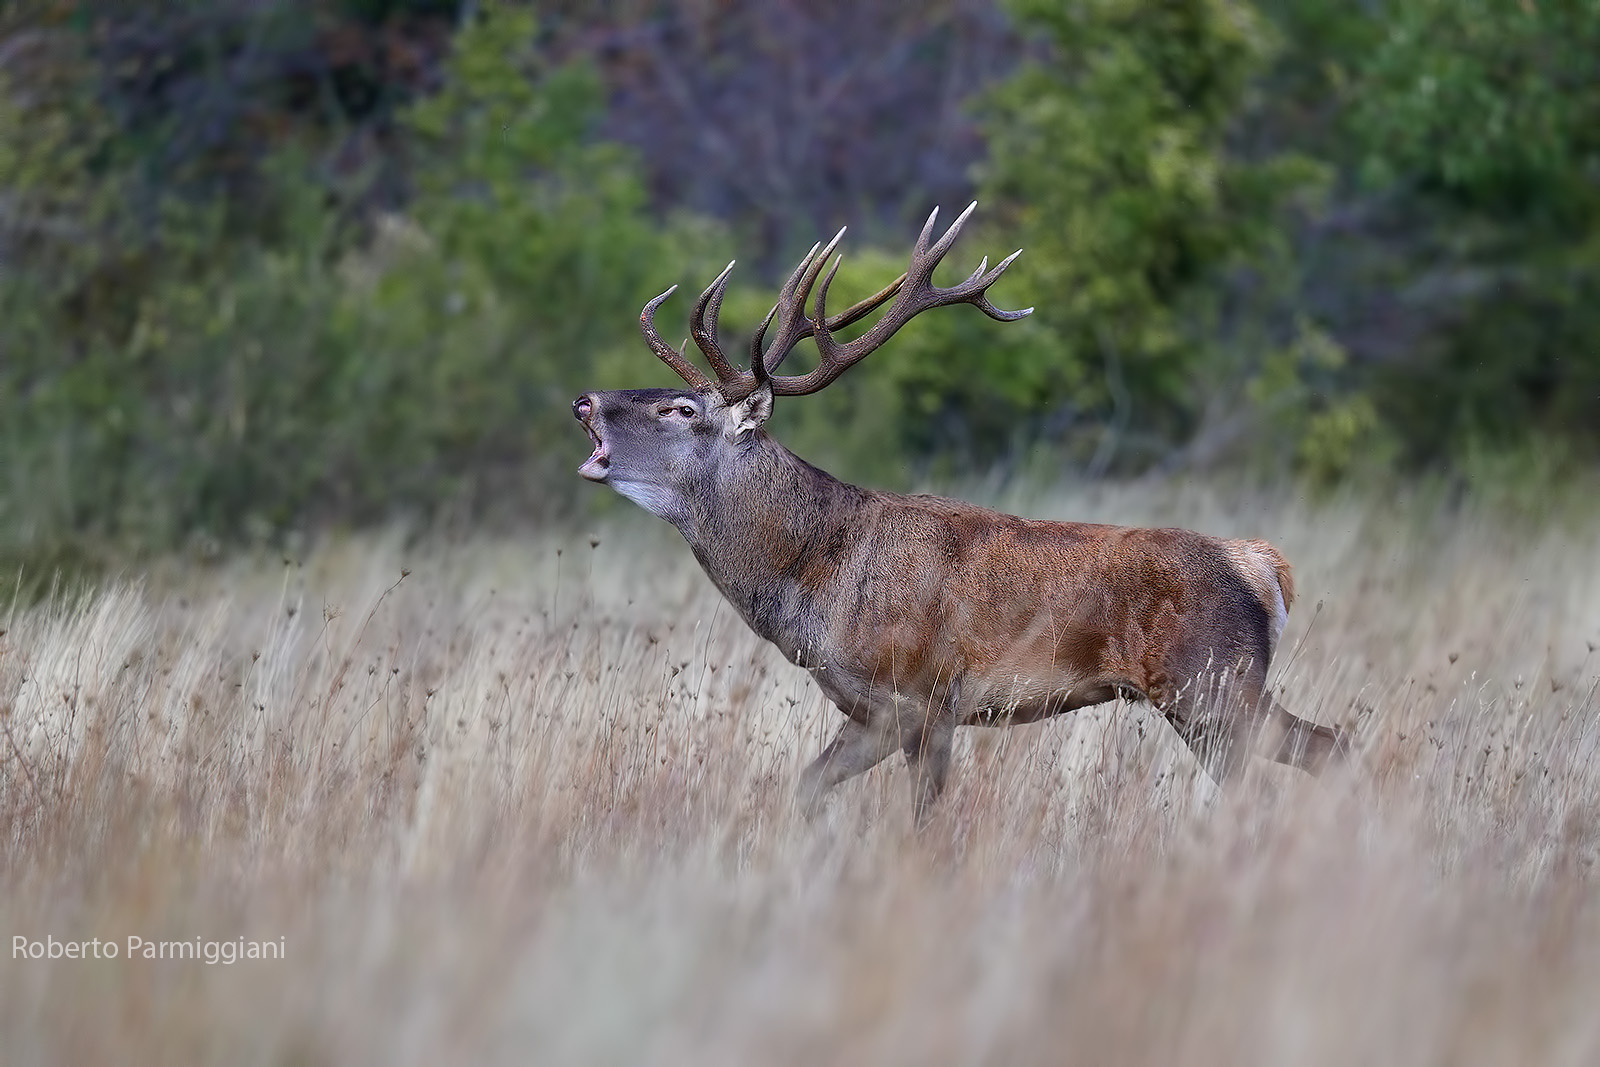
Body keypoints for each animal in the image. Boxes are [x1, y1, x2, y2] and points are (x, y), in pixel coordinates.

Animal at [573, 203, 1350, 823]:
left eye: (681, 409)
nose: (585, 400)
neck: (815, 576)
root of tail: (1259, 565)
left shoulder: (923, 695)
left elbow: (922, 820)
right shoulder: (870, 710)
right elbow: (806, 789)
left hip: (1211, 682)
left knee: (1293, 766)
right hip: (1219, 692)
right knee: (1320, 749)